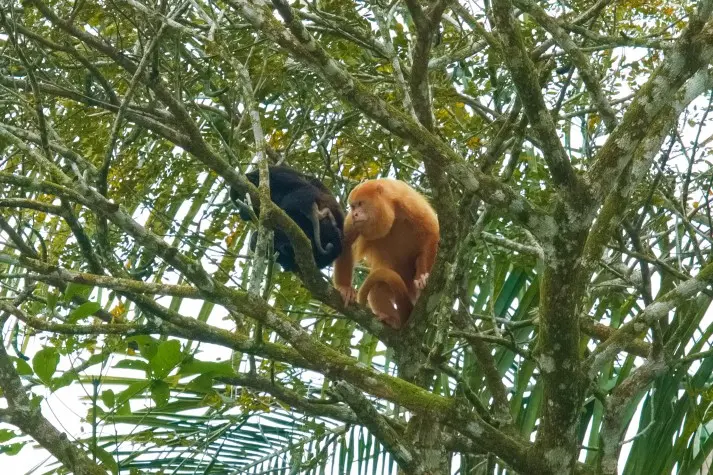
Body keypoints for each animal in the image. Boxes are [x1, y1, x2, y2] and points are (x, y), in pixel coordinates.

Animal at [333, 179, 440, 328]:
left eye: (360, 203)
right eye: (353, 207)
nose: (355, 214)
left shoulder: (408, 201)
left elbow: (431, 232)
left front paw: (422, 277)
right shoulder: (353, 222)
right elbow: (345, 243)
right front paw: (345, 288)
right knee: (379, 286)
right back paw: (392, 319)